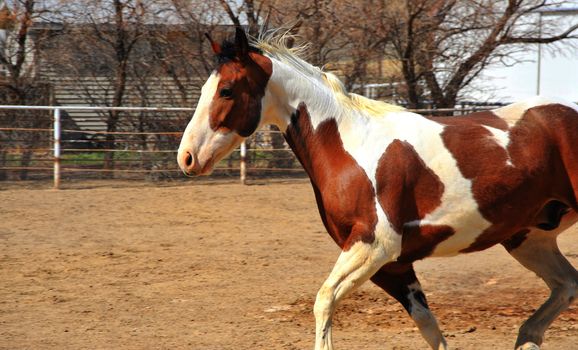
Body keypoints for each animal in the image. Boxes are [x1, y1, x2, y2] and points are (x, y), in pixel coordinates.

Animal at [176, 27, 576, 350]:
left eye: (226, 90)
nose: (187, 157)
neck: (350, 147)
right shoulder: (394, 267)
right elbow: (430, 328)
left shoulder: (374, 246)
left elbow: (324, 300)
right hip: (528, 238)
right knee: (567, 284)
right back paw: (527, 338)